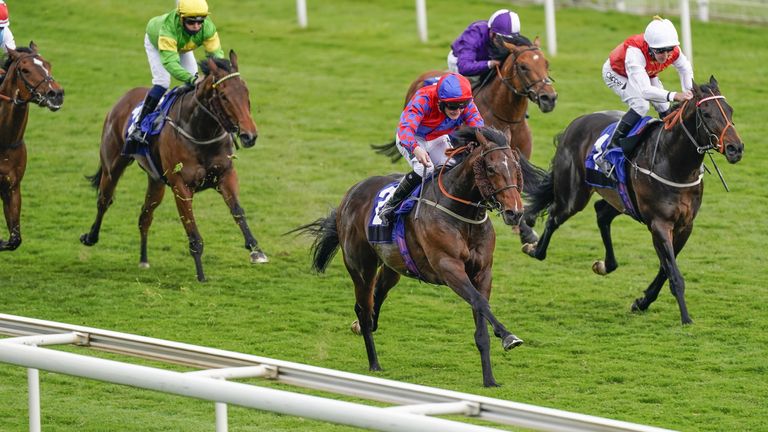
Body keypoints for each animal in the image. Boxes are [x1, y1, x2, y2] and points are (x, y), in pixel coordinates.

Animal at [0, 42, 64, 251]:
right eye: (25, 70)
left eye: (48, 64)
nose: (56, 94)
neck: (4, 141)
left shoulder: (12, 187)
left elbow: (14, 239)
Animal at [80, 50, 268, 282]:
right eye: (224, 96)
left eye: (246, 91)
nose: (250, 135)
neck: (200, 131)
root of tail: (124, 98)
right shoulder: (181, 186)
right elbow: (192, 230)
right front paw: (201, 275)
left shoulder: (225, 175)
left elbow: (238, 211)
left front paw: (256, 250)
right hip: (112, 167)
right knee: (104, 201)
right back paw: (90, 236)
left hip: (156, 182)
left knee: (145, 216)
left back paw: (143, 259)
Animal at [292, 126, 548, 386]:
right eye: (491, 168)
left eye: (516, 167)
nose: (515, 212)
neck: (462, 213)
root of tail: (351, 193)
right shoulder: (448, 267)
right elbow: (479, 302)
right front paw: (508, 336)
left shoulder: (482, 272)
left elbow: (481, 320)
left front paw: (490, 379)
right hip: (361, 266)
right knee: (364, 308)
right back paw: (374, 363)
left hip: (392, 268)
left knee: (375, 300)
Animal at [520, 77, 744, 324]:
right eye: (706, 113)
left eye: (730, 110)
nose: (736, 148)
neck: (674, 164)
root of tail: (575, 123)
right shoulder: (659, 224)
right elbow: (673, 273)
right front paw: (686, 318)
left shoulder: (685, 225)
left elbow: (665, 269)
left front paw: (642, 301)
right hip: (573, 195)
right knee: (554, 217)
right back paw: (534, 249)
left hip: (621, 199)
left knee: (601, 213)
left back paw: (605, 265)